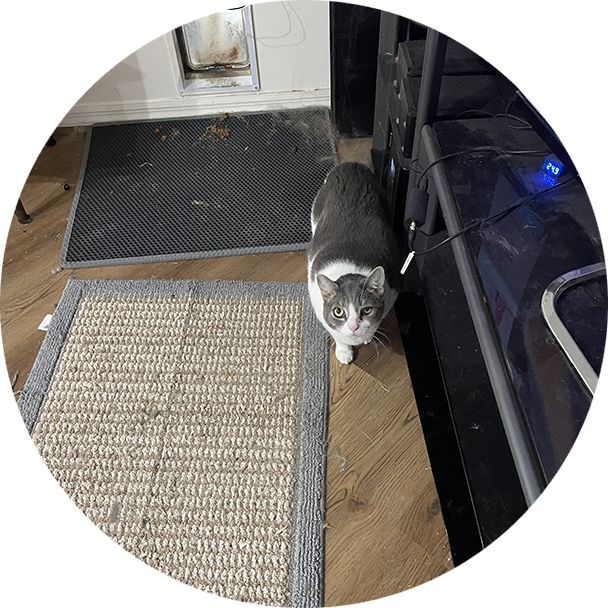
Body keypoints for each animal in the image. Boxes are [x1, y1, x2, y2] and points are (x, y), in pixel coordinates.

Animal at [308, 159, 400, 366]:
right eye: (338, 312)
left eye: (366, 310)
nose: (353, 327)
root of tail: (351, 165)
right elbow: (335, 332)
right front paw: (344, 350)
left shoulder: (393, 289)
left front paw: (367, 336)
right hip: (315, 212)